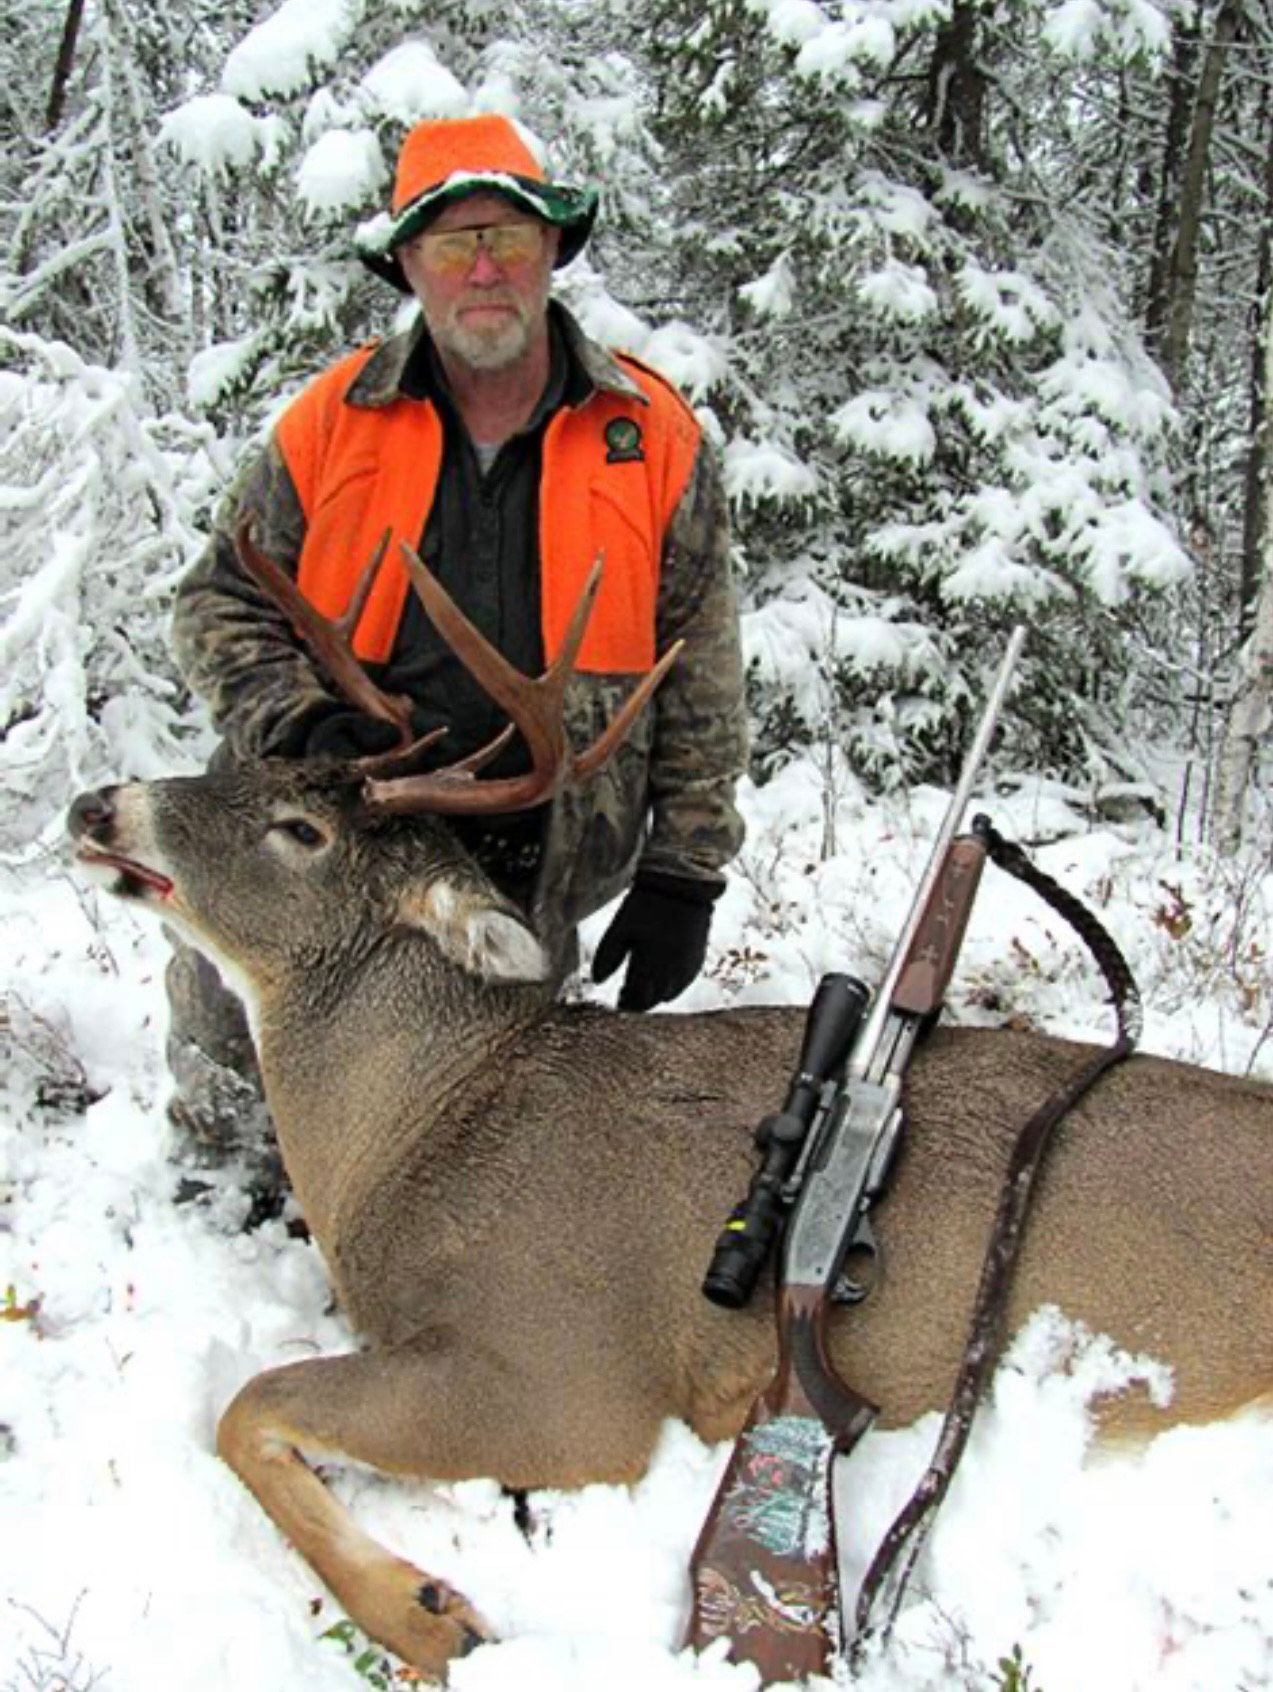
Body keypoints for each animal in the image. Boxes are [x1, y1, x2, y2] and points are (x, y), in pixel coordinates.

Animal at [67, 530, 1273, 1682]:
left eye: (300, 831)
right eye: (272, 761)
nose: (94, 803)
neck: (415, 1140)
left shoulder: (569, 1377)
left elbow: (245, 1403)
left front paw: (433, 1617)